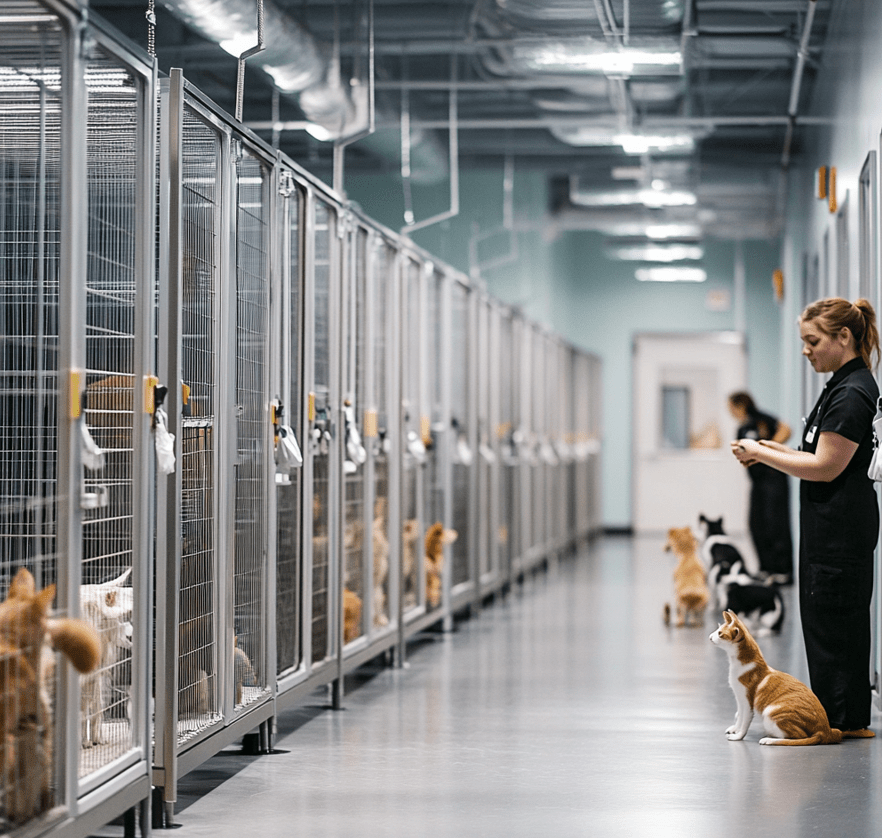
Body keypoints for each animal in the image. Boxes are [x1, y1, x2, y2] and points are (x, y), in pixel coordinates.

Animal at [708, 612, 840, 748]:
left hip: (770, 712)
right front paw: (735, 729)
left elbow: (745, 721)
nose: (710, 637)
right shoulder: (739, 698)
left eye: (720, 633)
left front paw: (738, 736)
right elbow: (739, 716)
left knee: (798, 737)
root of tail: (825, 731)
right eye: (717, 630)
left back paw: (769, 739)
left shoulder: (748, 701)